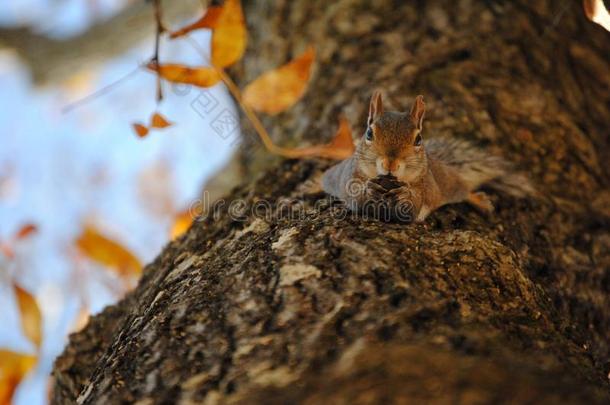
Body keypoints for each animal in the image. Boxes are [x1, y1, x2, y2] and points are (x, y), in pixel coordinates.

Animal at [320, 91, 528, 221]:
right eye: (369, 133)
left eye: (418, 139)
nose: (390, 164)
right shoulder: (350, 175)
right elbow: (354, 197)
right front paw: (368, 189)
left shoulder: (424, 187)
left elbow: (413, 206)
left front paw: (404, 194)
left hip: (447, 183)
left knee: (462, 189)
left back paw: (480, 201)